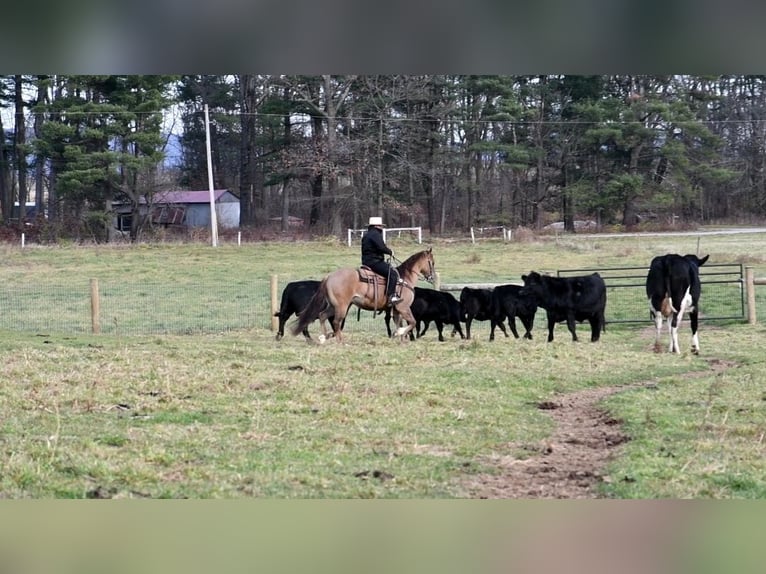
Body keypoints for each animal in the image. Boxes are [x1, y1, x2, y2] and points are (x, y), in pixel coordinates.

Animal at [294, 248, 438, 342]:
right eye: (432, 262)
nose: (432, 277)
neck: (404, 278)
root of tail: (329, 276)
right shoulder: (404, 307)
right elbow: (412, 322)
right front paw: (400, 333)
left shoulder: (397, 309)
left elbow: (399, 323)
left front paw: (399, 338)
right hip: (341, 307)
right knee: (336, 322)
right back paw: (340, 341)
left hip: (333, 306)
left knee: (322, 315)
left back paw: (325, 337)